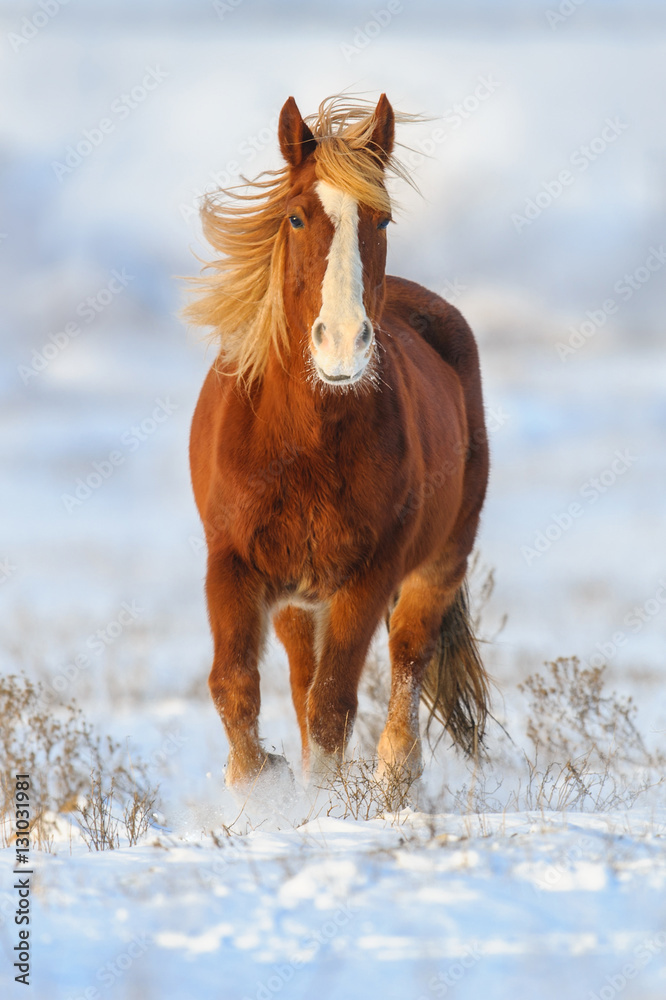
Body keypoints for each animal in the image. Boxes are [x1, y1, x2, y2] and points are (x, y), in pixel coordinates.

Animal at [186, 94, 490, 790]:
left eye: (381, 219)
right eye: (296, 216)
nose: (344, 344)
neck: (303, 445)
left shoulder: (367, 577)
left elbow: (333, 707)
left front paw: (312, 806)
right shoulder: (232, 564)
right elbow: (236, 688)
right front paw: (259, 788)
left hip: (438, 563)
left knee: (407, 658)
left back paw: (395, 776)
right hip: (299, 602)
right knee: (300, 682)